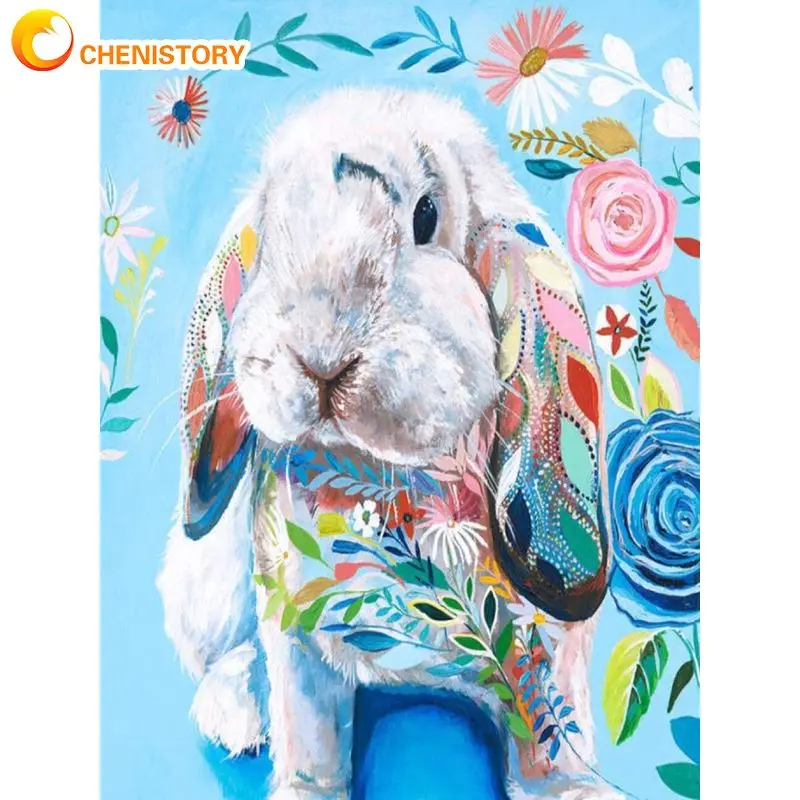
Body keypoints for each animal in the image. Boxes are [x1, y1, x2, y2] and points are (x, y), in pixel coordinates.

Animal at [158, 88, 621, 800]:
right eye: (273, 226)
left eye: (426, 217)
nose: (320, 356)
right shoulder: (295, 633)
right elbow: (310, 738)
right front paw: (302, 789)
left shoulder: (547, 649)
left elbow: (552, 736)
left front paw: (577, 791)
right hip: (207, 580)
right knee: (223, 656)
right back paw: (236, 715)